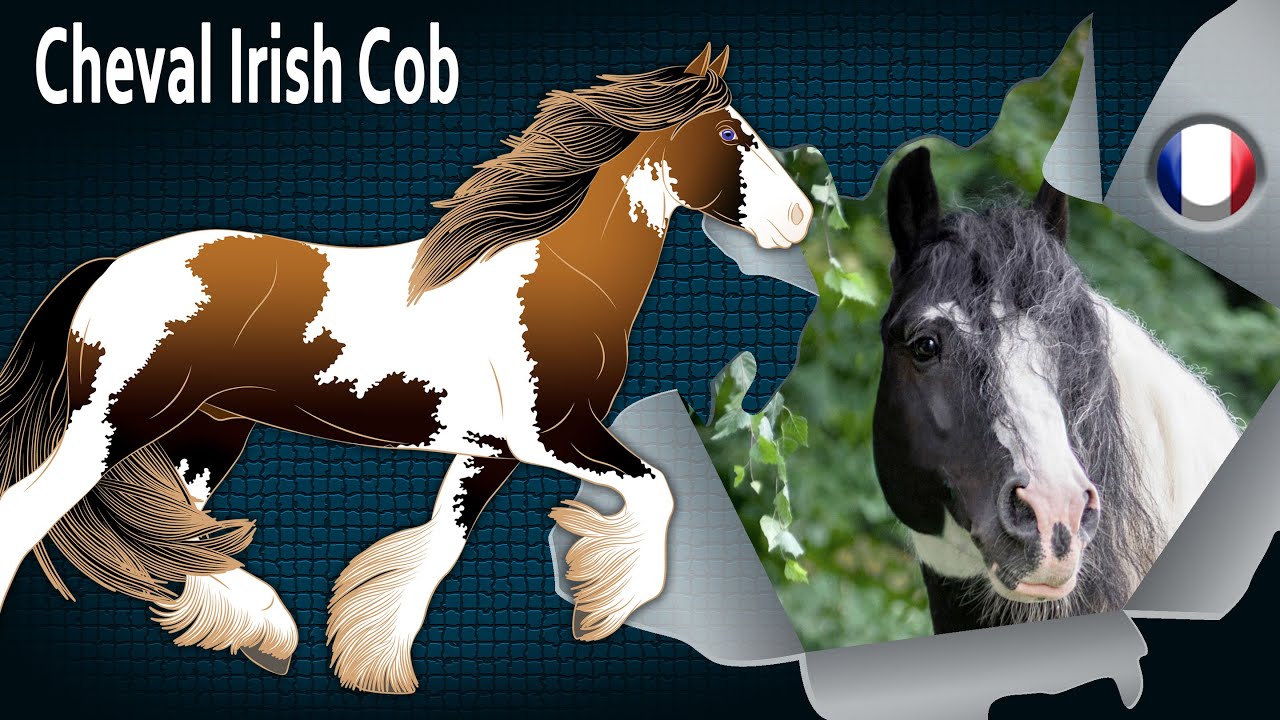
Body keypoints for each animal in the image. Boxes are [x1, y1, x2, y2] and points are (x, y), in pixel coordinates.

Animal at [0, 44, 813, 693]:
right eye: (733, 134)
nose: (799, 220)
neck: (556, 278)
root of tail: (106, 272)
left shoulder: (491, 454)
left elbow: (439, 548)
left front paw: (374, 664)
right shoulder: (551, 436)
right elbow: (659, 491)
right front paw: (604, 604)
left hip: (207, 437)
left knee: (183, 532)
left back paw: (267, 631)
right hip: (115, 423)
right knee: (30, 512)